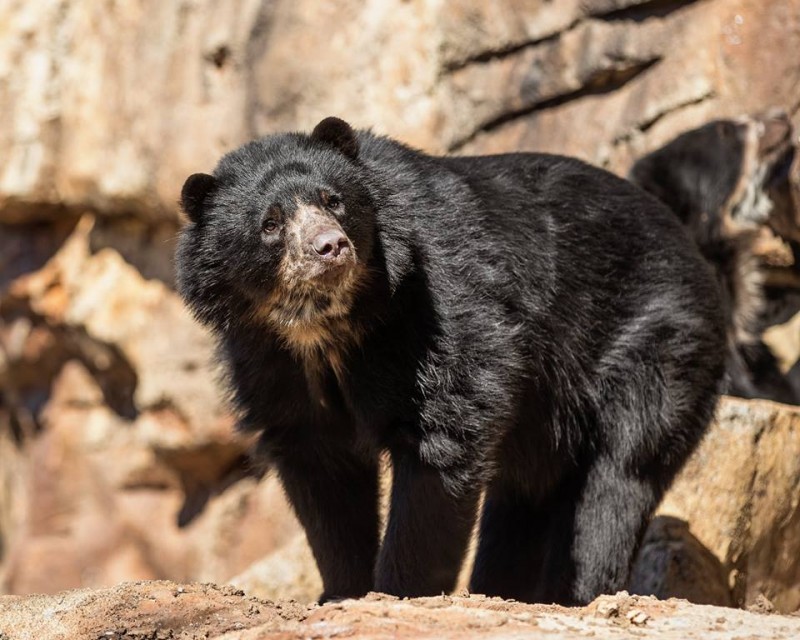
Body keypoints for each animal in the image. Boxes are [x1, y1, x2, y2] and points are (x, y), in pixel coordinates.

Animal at [175, 116, 724, 604]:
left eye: (334, 200)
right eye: (270, 224)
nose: (330, 247)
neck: (326, 326)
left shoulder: (437, 302)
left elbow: (444, 438)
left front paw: (396, 589)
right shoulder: (268, 359)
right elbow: (324, 473)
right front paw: (341, 590)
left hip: (656, 343)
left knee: (618, 477)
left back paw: (579, 593)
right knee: (524, 499)